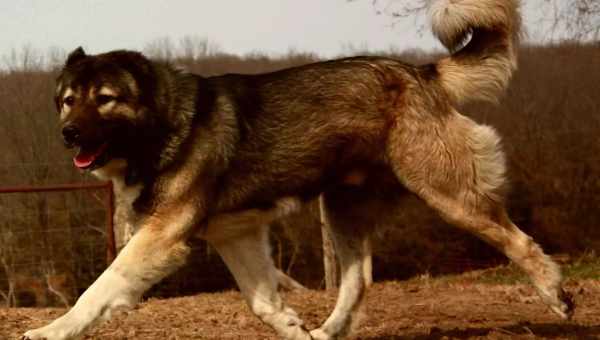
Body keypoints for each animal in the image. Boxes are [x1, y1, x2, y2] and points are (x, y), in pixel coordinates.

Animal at [23, 1, 576, 338]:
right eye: (68, 100)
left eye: (105, 99)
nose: (68, 134)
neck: (165, 124)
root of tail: (422, 73)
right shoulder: (236, 235)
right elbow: (262, 301)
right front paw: (293, 328)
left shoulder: (160, 238)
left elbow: (100, 288)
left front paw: (52, 330)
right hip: (343, 208)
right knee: (359, 278)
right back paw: (328, 331)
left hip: (449, 193)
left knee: (518, 241)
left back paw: (557, 296)